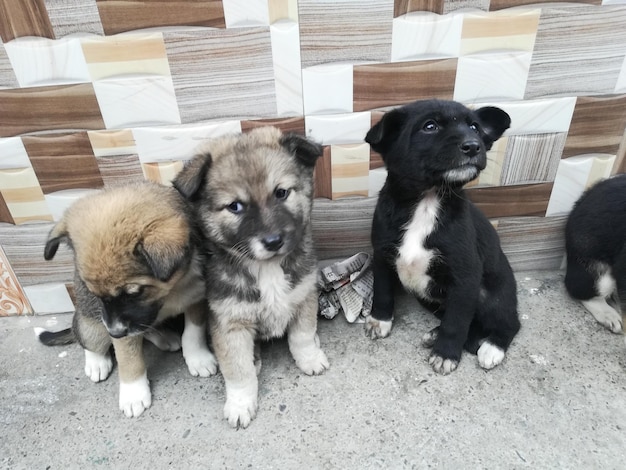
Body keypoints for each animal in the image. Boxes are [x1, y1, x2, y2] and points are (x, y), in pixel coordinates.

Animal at [37, 182, 217, 416]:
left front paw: (198, 358)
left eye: (133, 293)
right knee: (86, 338)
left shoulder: (196, 299)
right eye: (96, 294)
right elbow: (129, 358)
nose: (114, 332)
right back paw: (96, 362)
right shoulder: (117, 324)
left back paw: (164, 337)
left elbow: (193, 334)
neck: (171, 291)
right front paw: (133, 393)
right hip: (90, 321)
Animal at [171, 126, 326, 428]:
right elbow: (238, 371)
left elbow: (301, 336)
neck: (267, 268)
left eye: (281, 193)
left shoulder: (304, 295)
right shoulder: (229, 323)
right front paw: (241, 403)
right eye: (235, 206)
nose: (273, 241)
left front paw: (310, 357)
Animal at [364, 99, 520, 374]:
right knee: (471, 324)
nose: (473, 146)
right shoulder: (382, 256)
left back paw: (492, 348)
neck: (427, 200)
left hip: (494, 295)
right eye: (430, 126)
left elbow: (456, 321)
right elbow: (382, 291)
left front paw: (446, 353)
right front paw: (379, 320)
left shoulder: (465, 276)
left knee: (508, 322)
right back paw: (437, 334)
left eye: (474, 127)